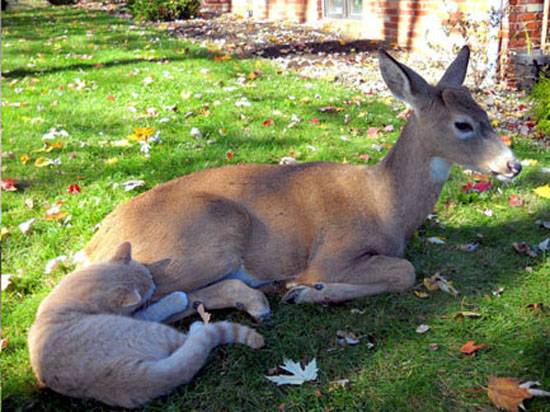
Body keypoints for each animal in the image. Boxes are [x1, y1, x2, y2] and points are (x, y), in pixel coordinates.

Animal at [28, 241, 266, 408]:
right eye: (149, 289)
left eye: (151, 278)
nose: (155, 286)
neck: (78, 293)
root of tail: (122, 377)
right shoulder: (141, 316)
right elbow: (157, 308)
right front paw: (177, 297)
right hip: (157, 331)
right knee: (194, 341)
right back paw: (197, 326)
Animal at [80, 47, 524, 322]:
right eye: (463, 125)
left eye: (486, 113)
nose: (514, 164)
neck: (386, 204)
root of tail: (93, 245)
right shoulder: (333, 251)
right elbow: (405, 271)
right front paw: (308, 290)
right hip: (206, 235)